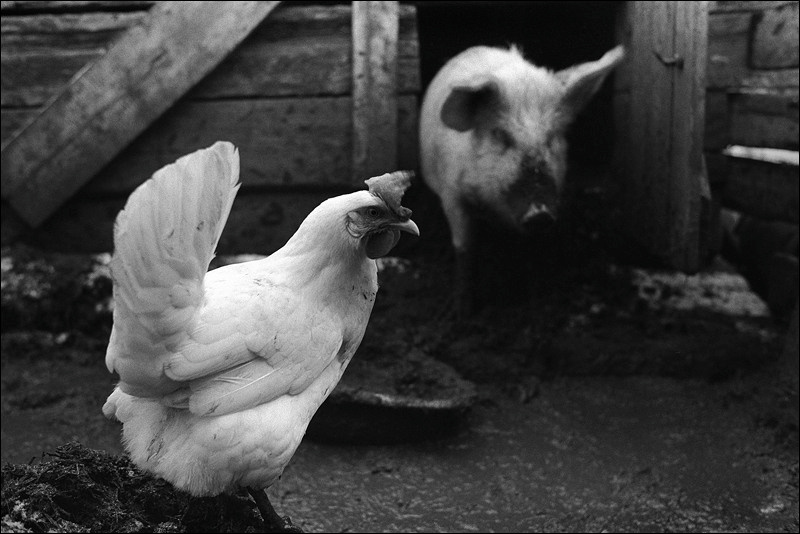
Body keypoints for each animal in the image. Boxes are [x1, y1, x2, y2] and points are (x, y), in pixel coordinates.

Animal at [419, 44, 625, 314]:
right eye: (501, 135)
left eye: (551, 136)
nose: (539, 212)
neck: (494, 208)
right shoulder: (452, 194)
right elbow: (465, 248)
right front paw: (462, 312)